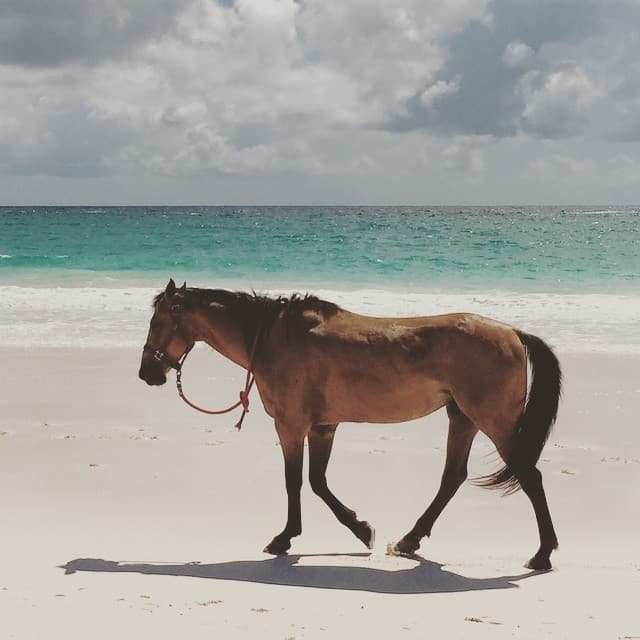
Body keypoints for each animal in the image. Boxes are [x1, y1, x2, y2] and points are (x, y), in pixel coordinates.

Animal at [139, 279, 562, 571]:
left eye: (157, 321)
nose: (147, 374)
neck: (274, 338)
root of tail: (513, 333)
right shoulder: (322, 426)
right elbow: (317, 482)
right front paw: (361, 529)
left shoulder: (291, 425)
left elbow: (296, 481)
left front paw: (285, 538)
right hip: (463, 419)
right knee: (452, 478)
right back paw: (408, 541)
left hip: (494, 422)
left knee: (530, 477)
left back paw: (542, 554)